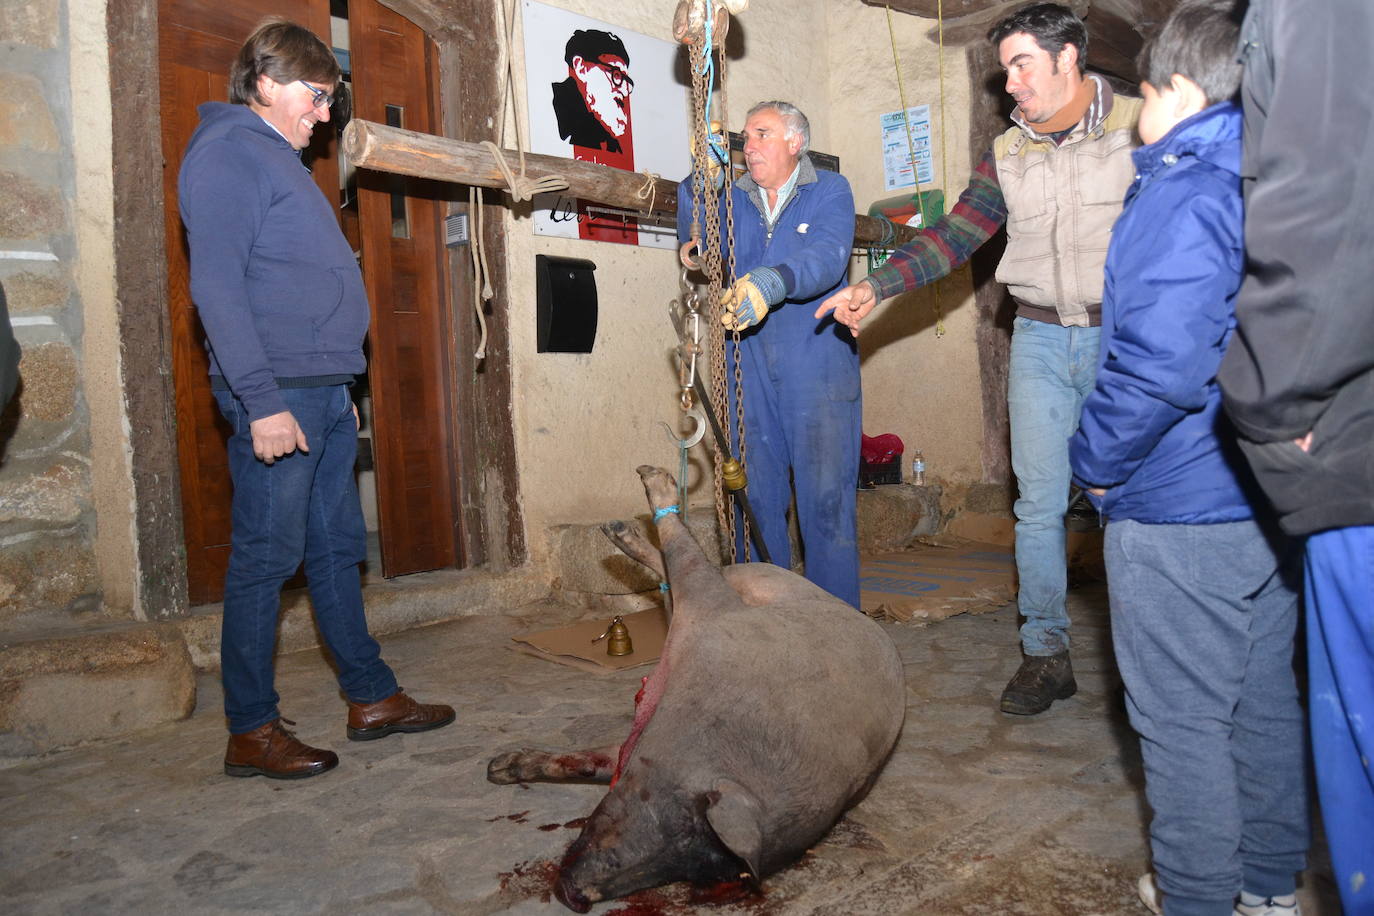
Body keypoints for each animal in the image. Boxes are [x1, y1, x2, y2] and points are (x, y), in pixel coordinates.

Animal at [489, 469, 906, 911]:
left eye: (679, 870)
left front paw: (500, 768)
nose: (574, 897)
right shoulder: (717, 626)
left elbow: (593, 762)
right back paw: (629, 514)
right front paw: (498, 768)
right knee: (687, 565)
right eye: (670, 819)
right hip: (732, 591)